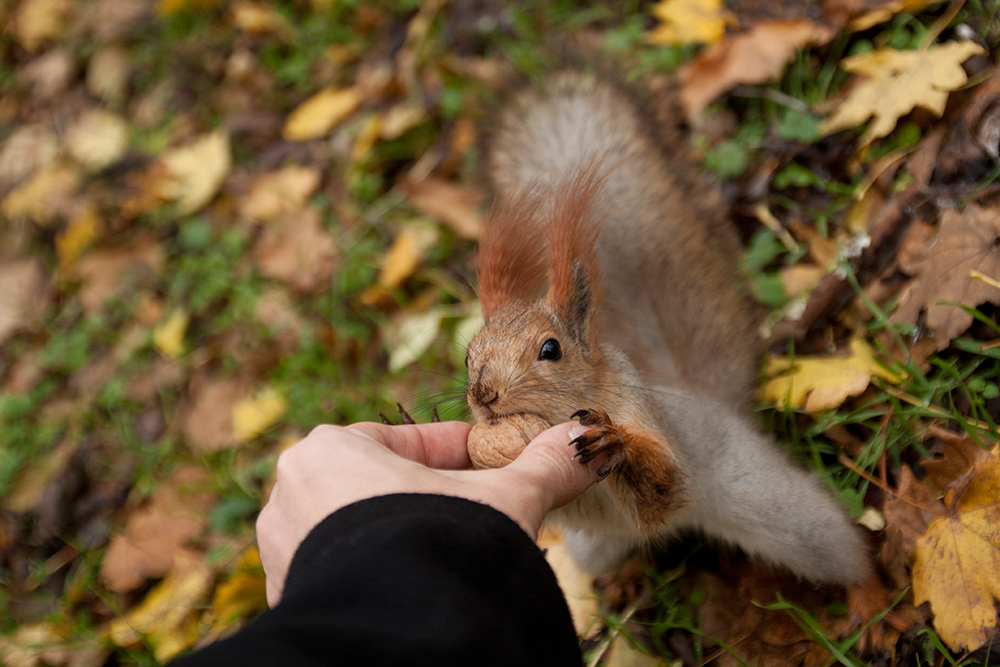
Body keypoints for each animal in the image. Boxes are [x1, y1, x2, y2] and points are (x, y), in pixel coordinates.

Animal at [460, 70, 884, 620]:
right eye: (469, 355)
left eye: (550, 350)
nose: (483, 394)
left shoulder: (649, 422)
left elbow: (663, 489)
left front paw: (616, 443)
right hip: (595, 548)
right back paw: (625, 580)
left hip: (775, 506)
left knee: (833, 543)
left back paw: (869, 597)